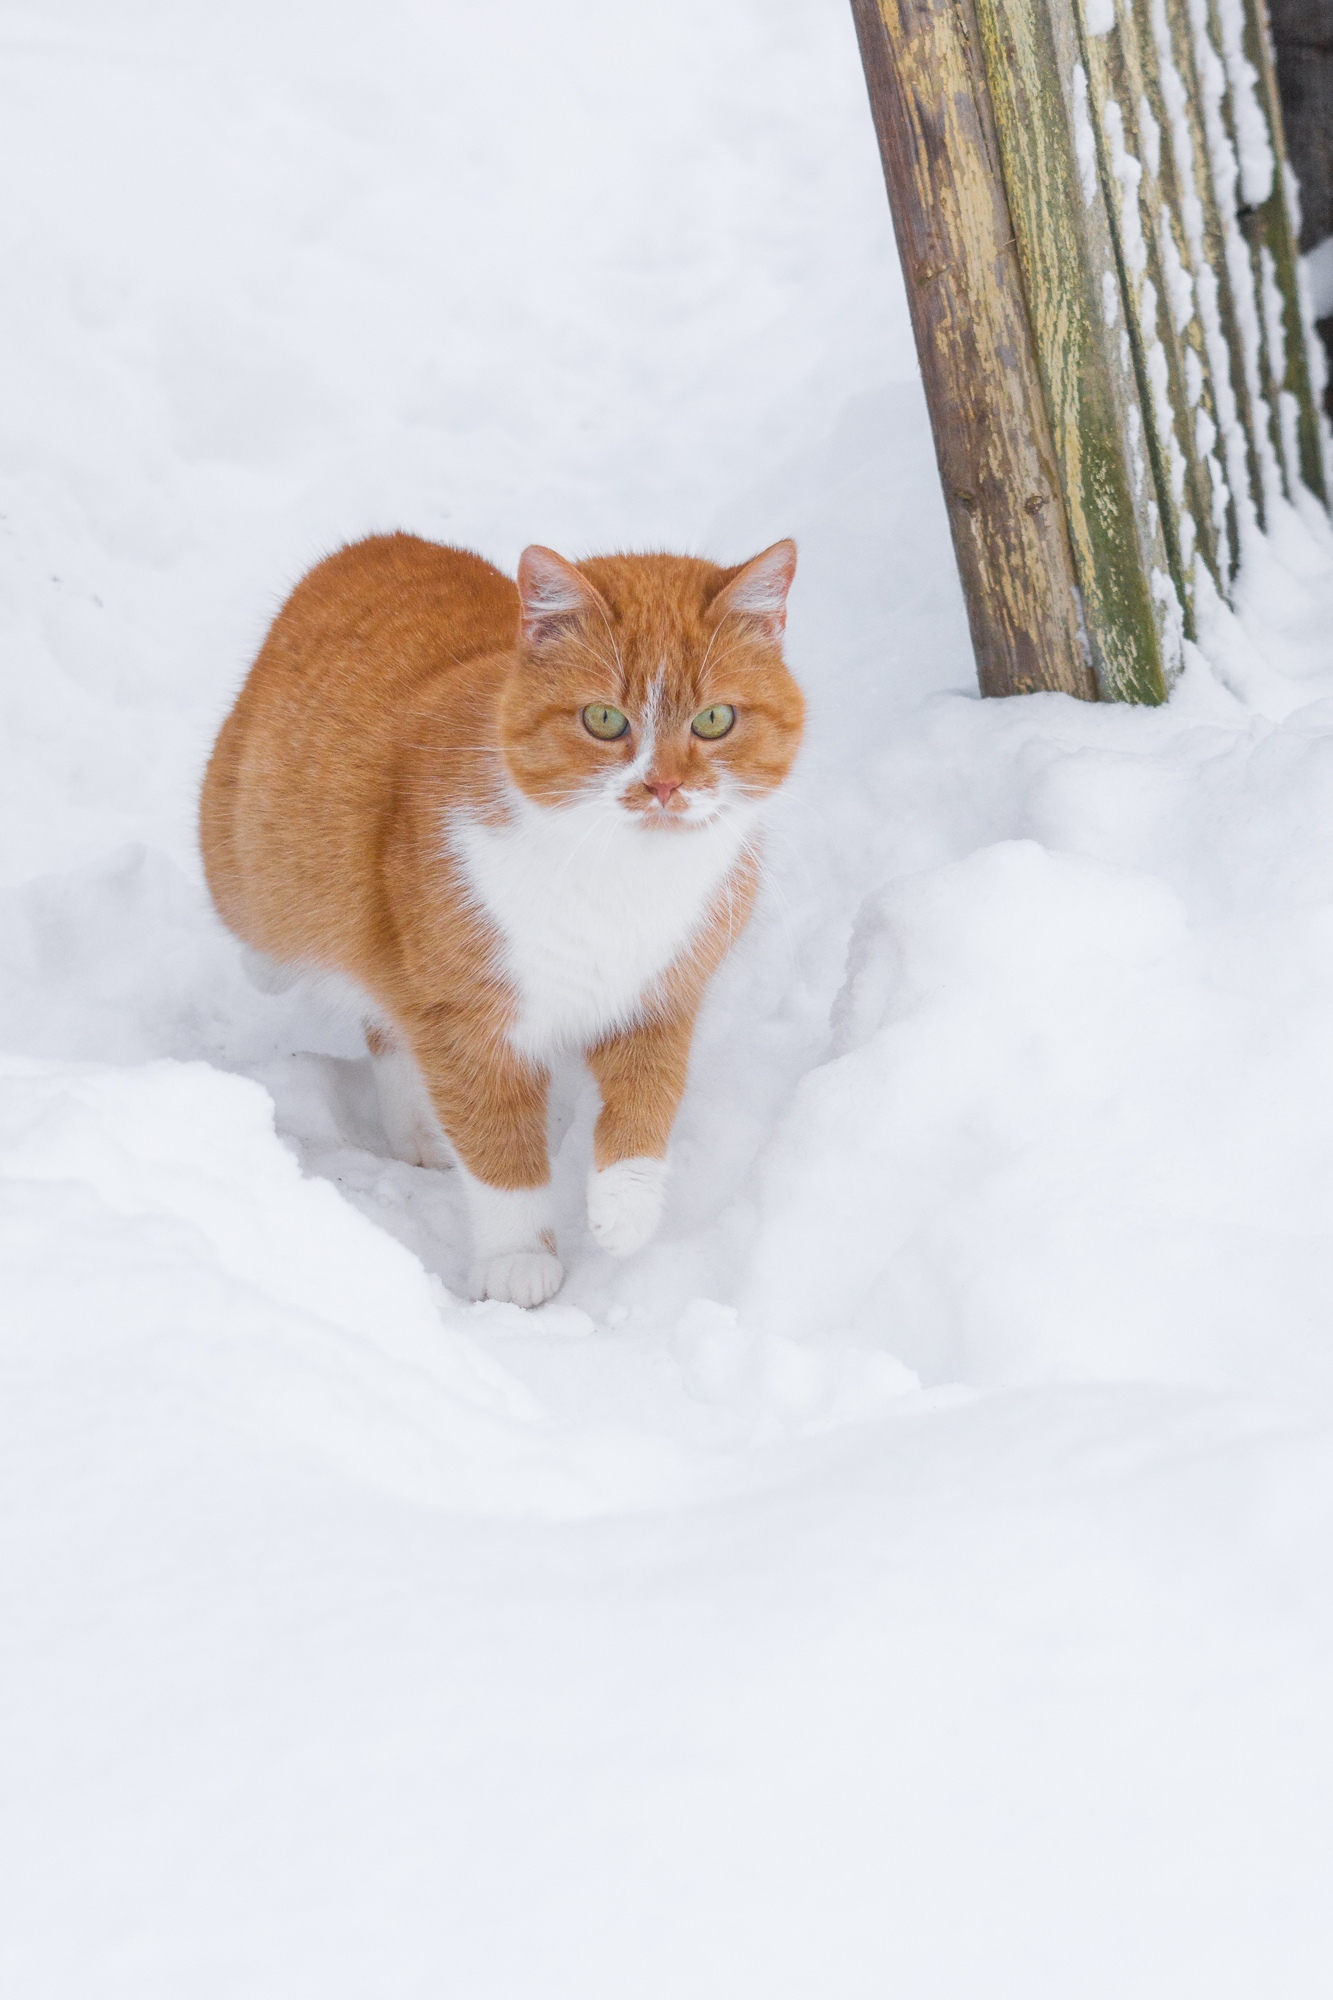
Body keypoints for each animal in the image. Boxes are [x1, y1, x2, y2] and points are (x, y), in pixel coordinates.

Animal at [197, 532, 800, 1312]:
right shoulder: (465, 1021)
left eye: (714, 720)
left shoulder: (661, 997)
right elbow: (499, 1151)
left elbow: (648, 1102)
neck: (619, 877)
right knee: (280, 947)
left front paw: (625, 1209)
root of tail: (379, 543)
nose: (663, 786)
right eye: (605, 720)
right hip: (260, 868)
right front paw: (519, 1259)